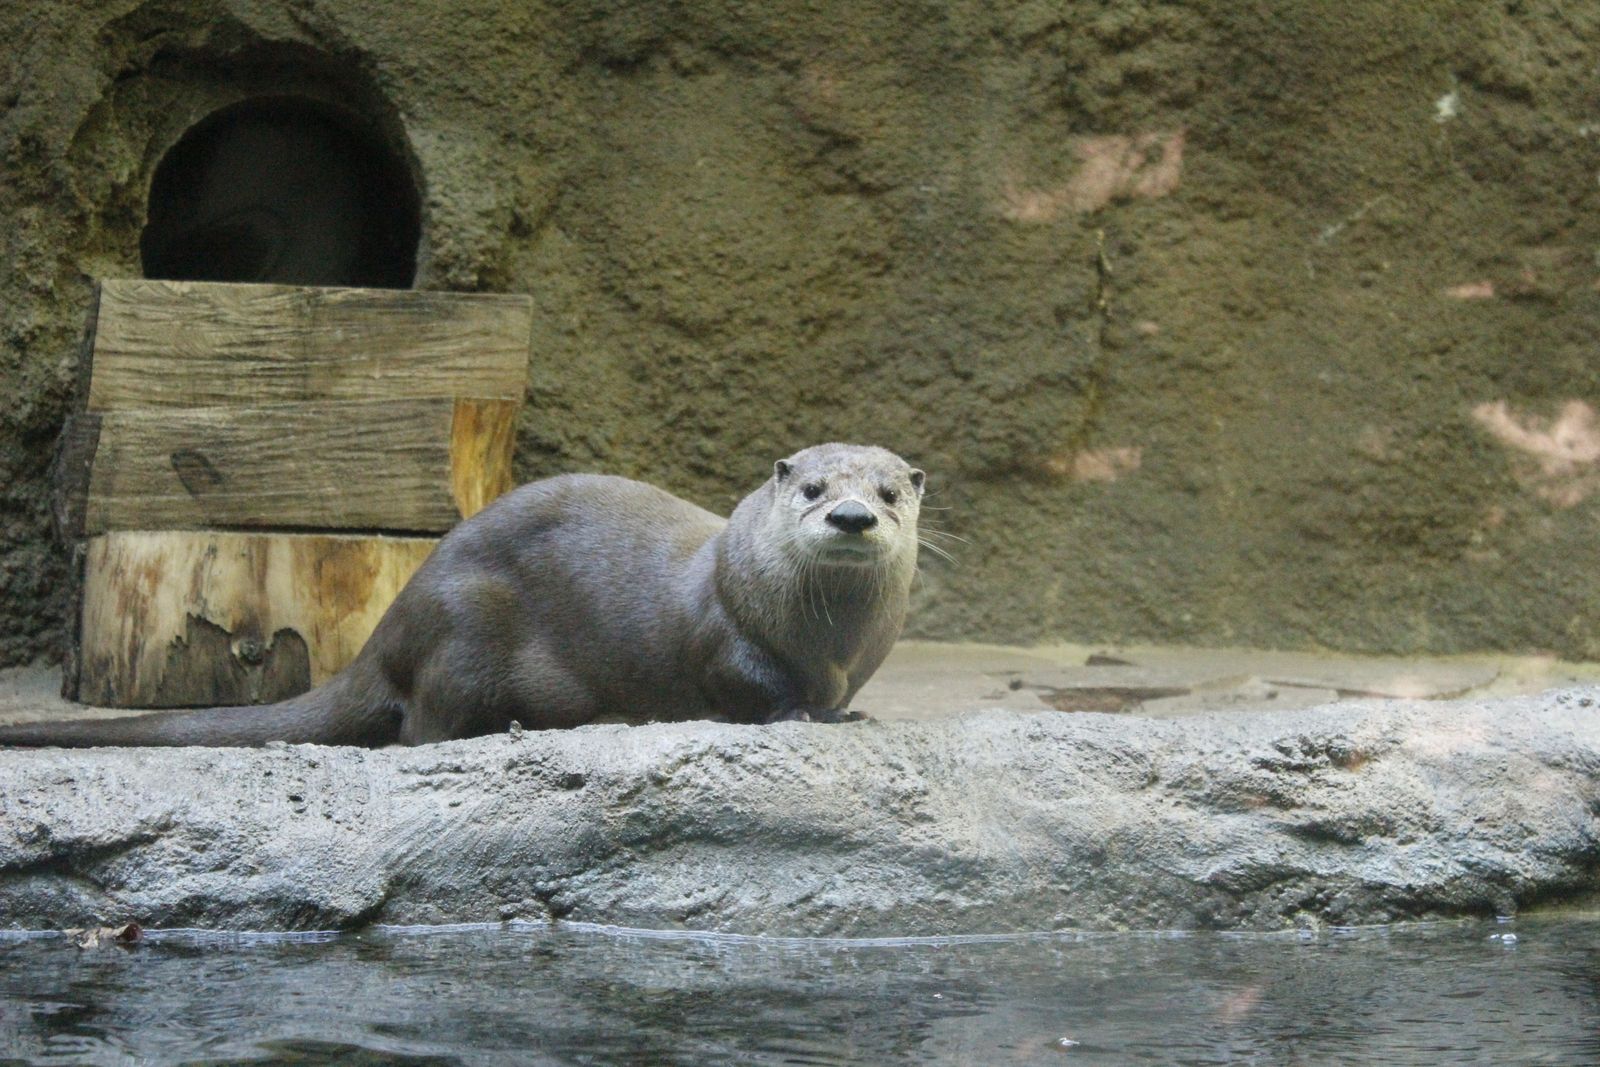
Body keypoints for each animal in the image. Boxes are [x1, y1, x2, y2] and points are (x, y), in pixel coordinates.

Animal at [0, 443, 924, 748]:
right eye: (811, 487)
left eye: (888, 491)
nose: (850, 514)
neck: (830, 644)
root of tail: (389, 631)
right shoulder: (723, 632)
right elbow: (746, 683)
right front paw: (803, 714)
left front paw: (847, 709)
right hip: (468, 631)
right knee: (417, 727)